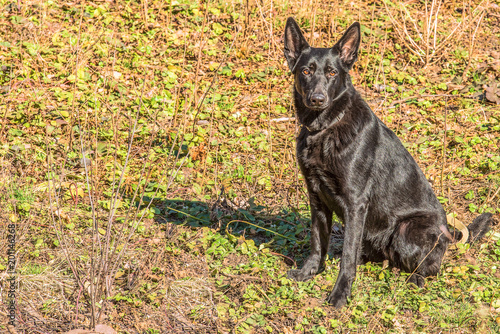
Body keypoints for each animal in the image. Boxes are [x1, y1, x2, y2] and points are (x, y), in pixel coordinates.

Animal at [284, 17, 494, 306]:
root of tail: (447, 233)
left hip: (407, 230)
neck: (325, 128)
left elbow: (347, 257)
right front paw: (309, 273)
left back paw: (412, 279)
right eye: (306, 71)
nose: (317, 99)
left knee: (427, 269)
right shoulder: (317, 197)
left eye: (332, 73)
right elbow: (317, 241)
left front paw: (340, 294)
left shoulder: (355, 203)